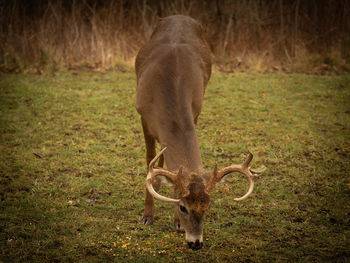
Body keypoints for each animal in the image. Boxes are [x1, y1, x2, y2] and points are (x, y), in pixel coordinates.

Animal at [134, 14, 266, 252]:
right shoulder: (142, 115)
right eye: (183, 207)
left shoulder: (195, 109)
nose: (195, 243)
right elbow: (150, 158)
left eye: (207, 206)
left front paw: (176, 222)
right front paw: (147, 215)